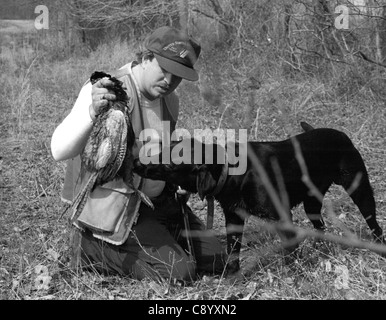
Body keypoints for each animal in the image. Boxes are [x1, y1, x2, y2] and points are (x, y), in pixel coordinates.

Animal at [134, 122, 384, 272]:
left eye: (169, 164)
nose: (136, 162)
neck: (232, 171)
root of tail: (339, 133)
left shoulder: (281, 217)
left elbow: (289, 251)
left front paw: (293, 274)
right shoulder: (234, 218)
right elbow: (232, 251)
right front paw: (232, 275)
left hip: (359, 190)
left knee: (374, 223)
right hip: (311, 204)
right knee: (321, 225)